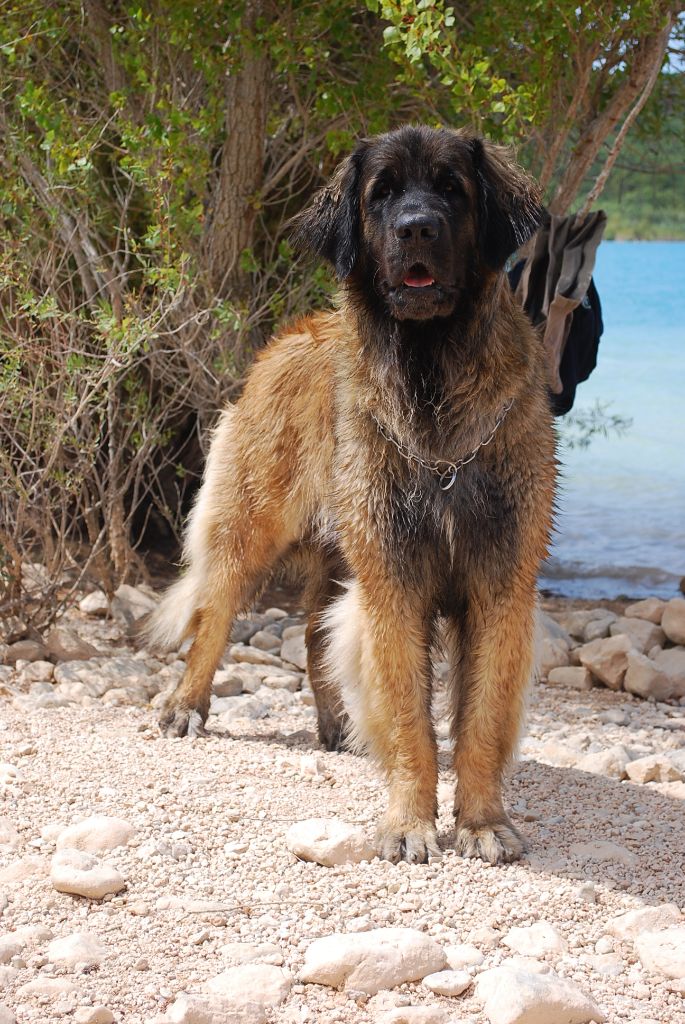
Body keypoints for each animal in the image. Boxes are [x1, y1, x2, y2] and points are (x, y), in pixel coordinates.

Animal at [149, 125, 557, 864]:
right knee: (213, 615)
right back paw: (184, 705)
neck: (430, 381)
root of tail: (286, 336)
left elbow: (482, 719)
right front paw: (408, 823)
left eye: (452, 188)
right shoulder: (392, 582)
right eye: (382, 193)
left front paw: (482, 822)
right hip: (251, 528)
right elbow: (407, 716)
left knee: (314, 638)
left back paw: (336, 721)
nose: (416, 227)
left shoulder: (500, 582)